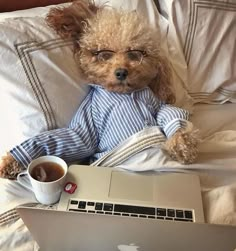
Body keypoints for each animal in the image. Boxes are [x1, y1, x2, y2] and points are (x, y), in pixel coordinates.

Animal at [0, 0, 199, 180]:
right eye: (104, 54)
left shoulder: (156, 103)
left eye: (135, 54)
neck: (124, 94)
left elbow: (171, 114)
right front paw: (11, 161)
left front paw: (182, 146)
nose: (121, 72)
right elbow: (73, 139)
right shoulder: (87, 117)